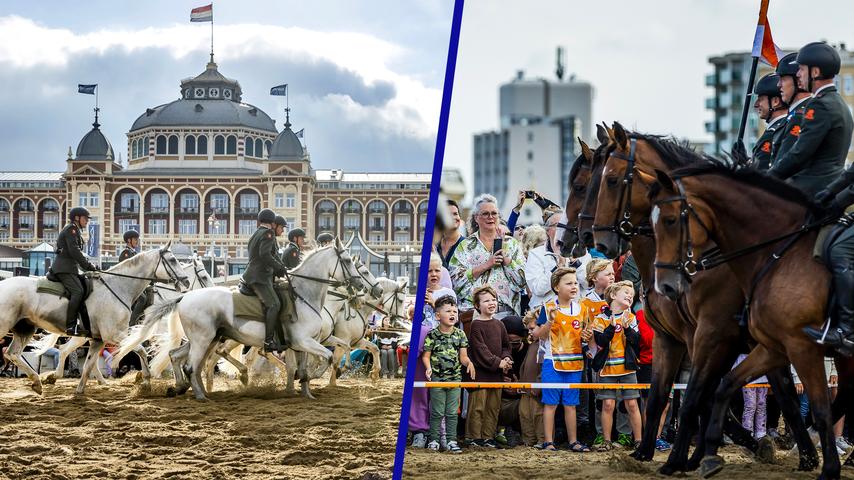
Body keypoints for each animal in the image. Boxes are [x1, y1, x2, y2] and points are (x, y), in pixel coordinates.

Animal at [0, 246, 188, 396]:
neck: (119, 286)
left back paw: (40, 381)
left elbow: (88, 365)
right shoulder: (114, 335)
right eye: (173, 260)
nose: (185, 281)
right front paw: (146, 381)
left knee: (14, 353)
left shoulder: (98, 339)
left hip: (25, 328)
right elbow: (140, 349)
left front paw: (80, 392)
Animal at [118, 240, 368, 402]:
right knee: (191, 365)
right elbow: (326, 358)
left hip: (208, 339)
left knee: (176, 356)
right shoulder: (304, 341)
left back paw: (181, 388)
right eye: (348, 260)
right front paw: (309, 379)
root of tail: (185, 296)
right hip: (203, 340)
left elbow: (307, 366)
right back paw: (199, 395)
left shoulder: (302, 345)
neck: (304, 295)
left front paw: (306, 392)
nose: (361, 286)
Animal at [592, 123, 820, 472]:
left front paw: (683, 458)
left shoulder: (711, 335)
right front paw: (649, 453)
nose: (599, 242)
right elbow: (661, 395)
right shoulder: (672, 339)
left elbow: (699, 396)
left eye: (613, 179)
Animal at [652, 162, 852, 480]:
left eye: (670, 221)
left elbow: (821, 410)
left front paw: (829, 469)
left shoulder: (801, 348)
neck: (782, 255)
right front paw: (709, 455)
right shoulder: (774, 348)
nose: (666, 286)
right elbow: (724, 387)